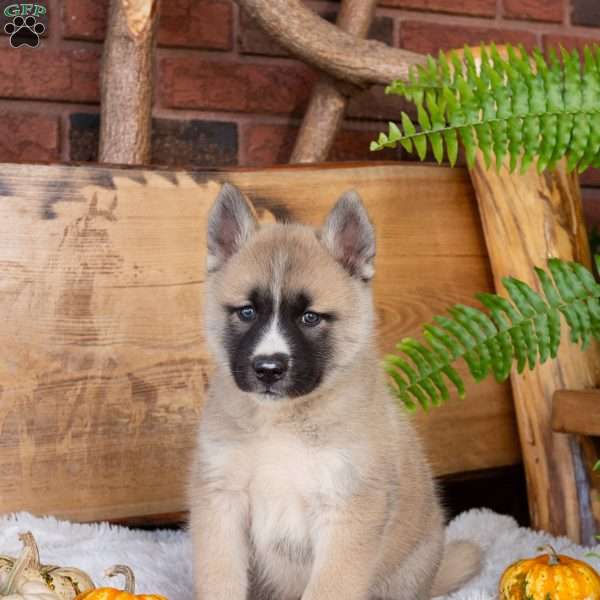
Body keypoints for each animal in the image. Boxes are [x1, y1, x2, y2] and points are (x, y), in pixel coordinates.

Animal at [190, 184, 480, 600]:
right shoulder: (221, 499)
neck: (284, 421)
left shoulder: (347, 512)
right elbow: (220, 581)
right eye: (247, 312)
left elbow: (329, 587)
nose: (268, 369)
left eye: (310, 318)